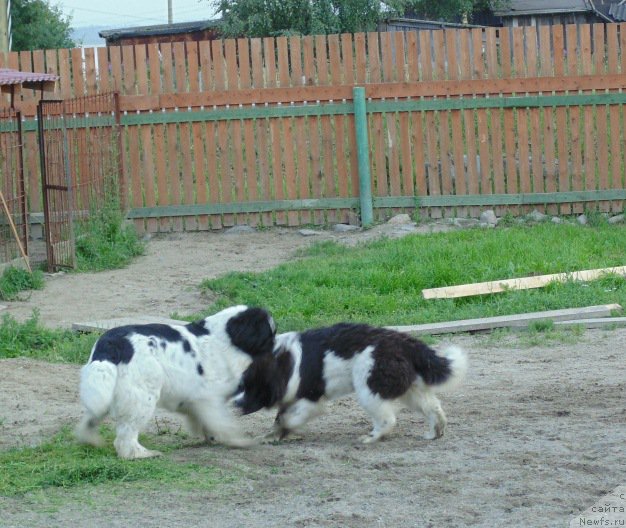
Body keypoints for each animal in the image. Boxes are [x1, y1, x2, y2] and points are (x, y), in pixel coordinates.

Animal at [75, 306, 272, 458]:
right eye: (269, 335)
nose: (275, 346)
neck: (224, 337)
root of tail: (111, 344)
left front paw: (212, 438)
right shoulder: (208, 398)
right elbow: (223, 422)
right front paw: (240, 441)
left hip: (103, 391)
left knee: (91, 418)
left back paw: (90, 440)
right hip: (142, 398)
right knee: (126, 436)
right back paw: (142, 454)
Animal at [234, 324, 468, 444]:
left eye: (251, 387)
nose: (234, 404)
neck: (285, 362)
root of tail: (407, 344)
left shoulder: (312, 399)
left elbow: (288, 418)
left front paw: (283, 430)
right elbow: (280, 417)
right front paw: (272, 436)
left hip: (369, 389)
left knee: (388, 419)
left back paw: (371, 438)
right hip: (410, 390)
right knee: (433, 407)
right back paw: (435, 432)